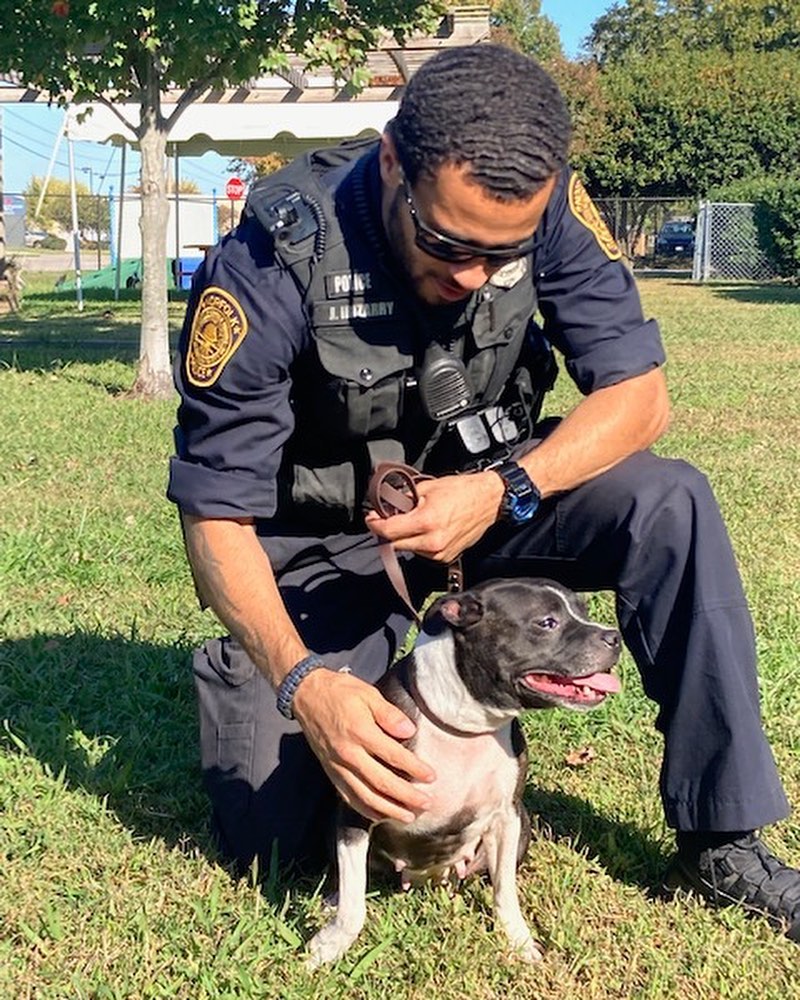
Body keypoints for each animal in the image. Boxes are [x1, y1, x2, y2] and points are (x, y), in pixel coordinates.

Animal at [304, 580, 620, 968]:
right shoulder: (358, 809)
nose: (614, 637)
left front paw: (518, 942)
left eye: (585, 610)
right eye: (547, 622)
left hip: (523, 828)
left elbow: (505, 892)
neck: (464, 724)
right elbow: (353, 906)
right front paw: (328, 947)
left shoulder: (507, 817)